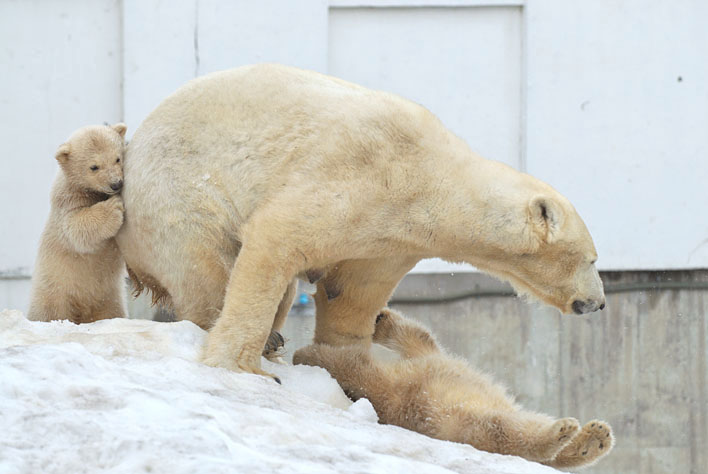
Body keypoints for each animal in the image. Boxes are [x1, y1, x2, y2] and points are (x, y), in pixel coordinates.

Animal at [119, 65, 604, 380]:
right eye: (593, 259)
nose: (598, 303)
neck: (433, 179)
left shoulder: (393, 235)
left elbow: (353, 289)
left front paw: (342, 357)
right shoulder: (356, 174)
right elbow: (278, 235)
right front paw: (241, 368)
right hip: (175, 192)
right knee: (205, 267)